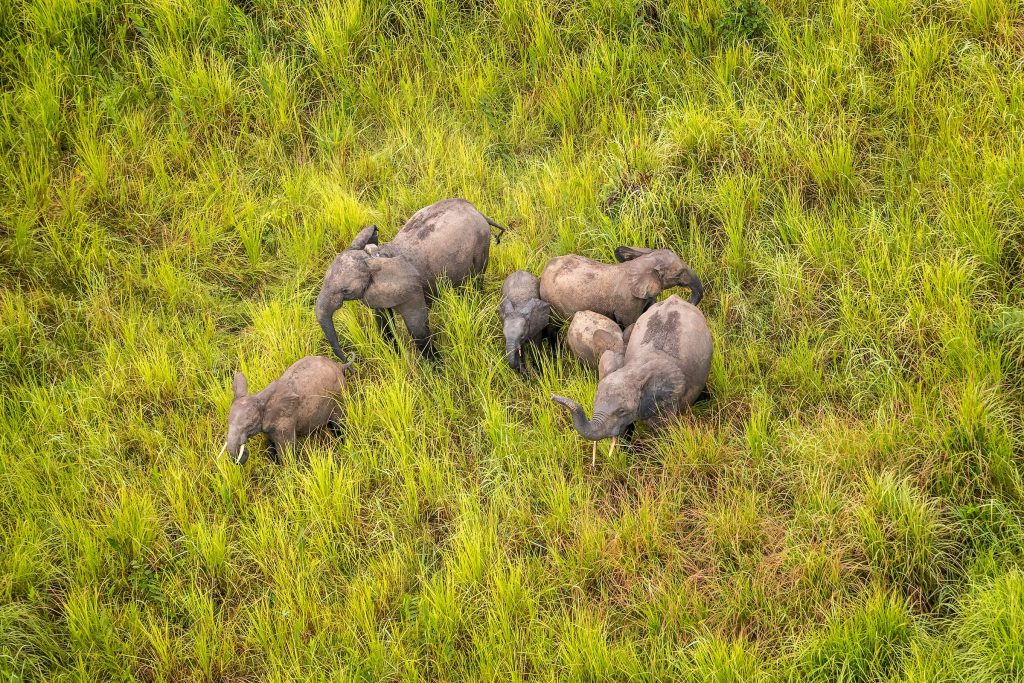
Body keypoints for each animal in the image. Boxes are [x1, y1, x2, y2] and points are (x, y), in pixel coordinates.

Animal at [223, 354, 354, 466]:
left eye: (250, 424)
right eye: (228, 422)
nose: (244, 453)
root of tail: (339, 365)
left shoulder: (285, 421)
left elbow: (286, 450)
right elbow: (271, 443)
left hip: (339, 394)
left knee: (339, 422)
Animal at [316, 198, 506, 360]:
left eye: (345, 290)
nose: (351, 359)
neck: (375, 257)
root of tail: (478, 211)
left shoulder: (411, 290)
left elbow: (417, 328)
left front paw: (436, 367)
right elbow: (384, 322)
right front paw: (395, 357)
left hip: (482, 244)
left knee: (476, 280)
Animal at [551, 295, 712, 463]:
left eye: (621, 411)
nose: (552, 396)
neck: (634, 369)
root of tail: (675, 298)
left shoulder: (666, 398)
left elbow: (664, 430)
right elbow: (625, 429)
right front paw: (625, 455)